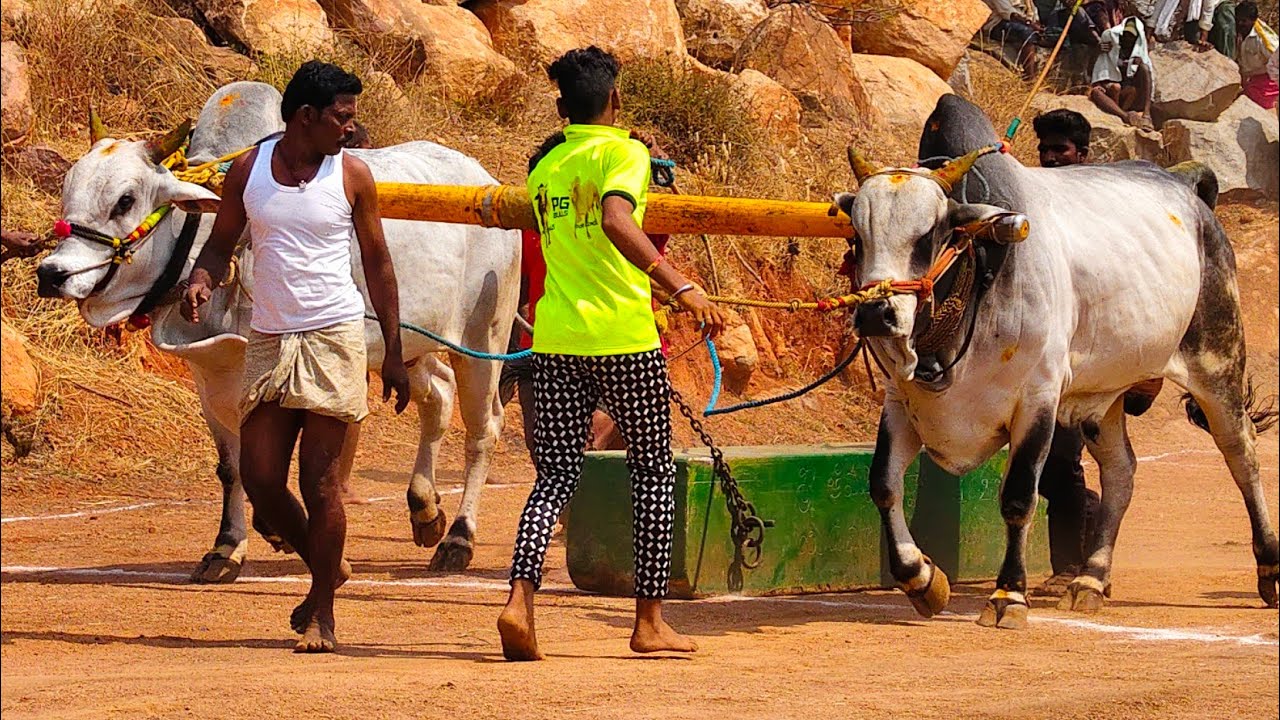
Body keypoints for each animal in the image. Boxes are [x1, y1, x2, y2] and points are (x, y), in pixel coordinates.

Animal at [35, 81, 521, 582]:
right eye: (67, 190)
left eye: (125, 200)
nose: (52, 274)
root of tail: (483, 176)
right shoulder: (210, 376)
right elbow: (231, 466)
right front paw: (228, 547)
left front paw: (290, 536)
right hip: (405, 345)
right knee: (438, 397)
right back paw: (424, 509)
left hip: (483, 337)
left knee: (484, 429)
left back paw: (458, 538)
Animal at [832, 94, 1278, 628]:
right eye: (857, 236)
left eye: (928, 236)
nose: (875, 313)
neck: (984, 270)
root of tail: (1187, 189)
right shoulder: (901, 402)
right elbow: (883, 484)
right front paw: (922, 579)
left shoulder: (1037, 400)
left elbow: (1018, 497)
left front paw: (1008, 595)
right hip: (1101, 397)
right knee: (1121, 472)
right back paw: (1090, 579)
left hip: (1217, 361)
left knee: (1242, 454)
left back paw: (1269, 569)